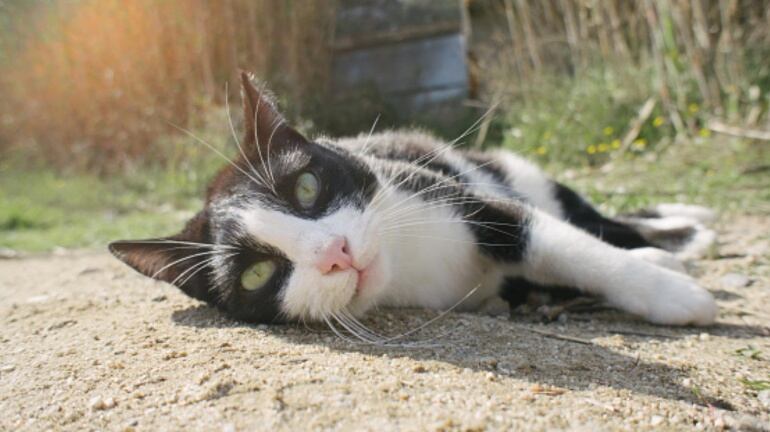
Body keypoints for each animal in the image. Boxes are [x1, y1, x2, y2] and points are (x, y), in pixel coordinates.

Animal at [108, 72, 712, 332]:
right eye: (257, 274)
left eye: (307, 187)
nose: (337, 251)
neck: (408, 268)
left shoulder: (448, 193)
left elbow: (559, 243)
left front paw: (673, 295)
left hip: (511, 169)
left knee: (596, 221)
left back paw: (678, 234)